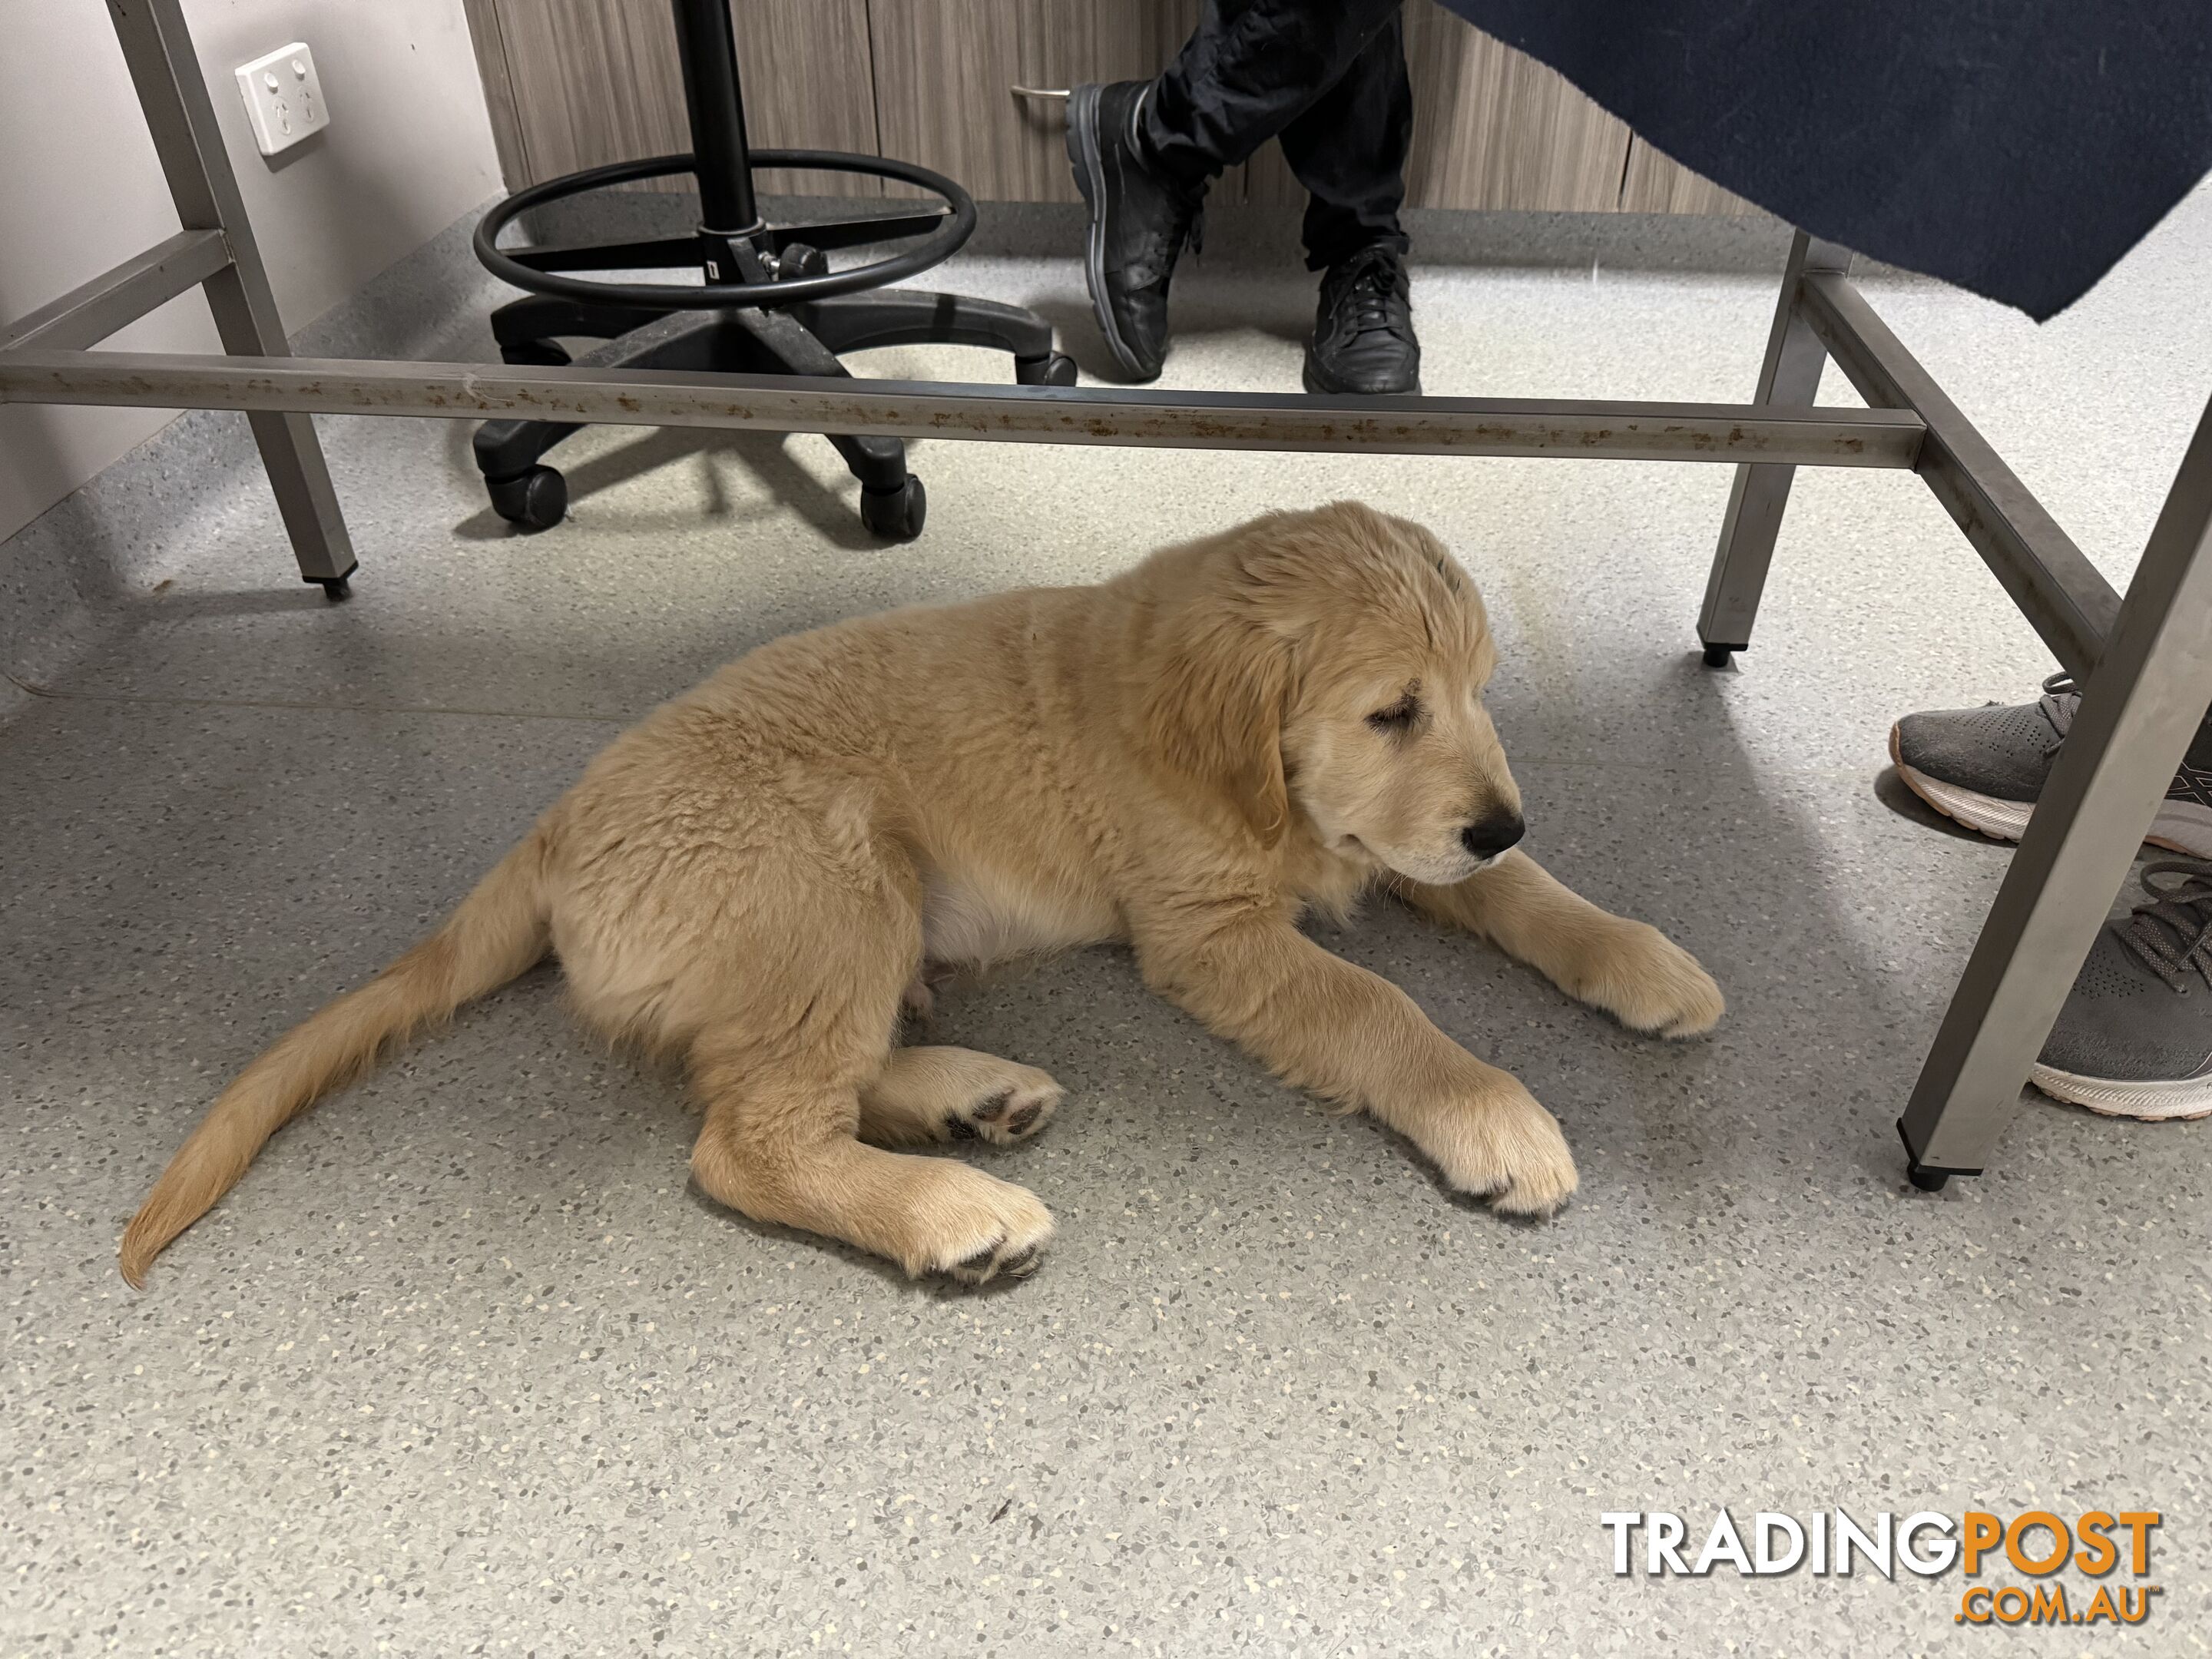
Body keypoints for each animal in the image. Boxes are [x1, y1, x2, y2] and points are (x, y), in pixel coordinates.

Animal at [121, 499, 1725, 1291]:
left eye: (1480, 693)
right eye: (1392, 711)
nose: (1500, 811)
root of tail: (556, 822)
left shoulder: (1395, 847)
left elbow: (1527, 896)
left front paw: (1644, 958)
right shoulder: (1211, 934)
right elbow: (1383, 1008)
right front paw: (1496, 1117)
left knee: (778, 1079)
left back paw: (969, 1096)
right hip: (831, 869)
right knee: (744, 1134)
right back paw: (951, 1203)